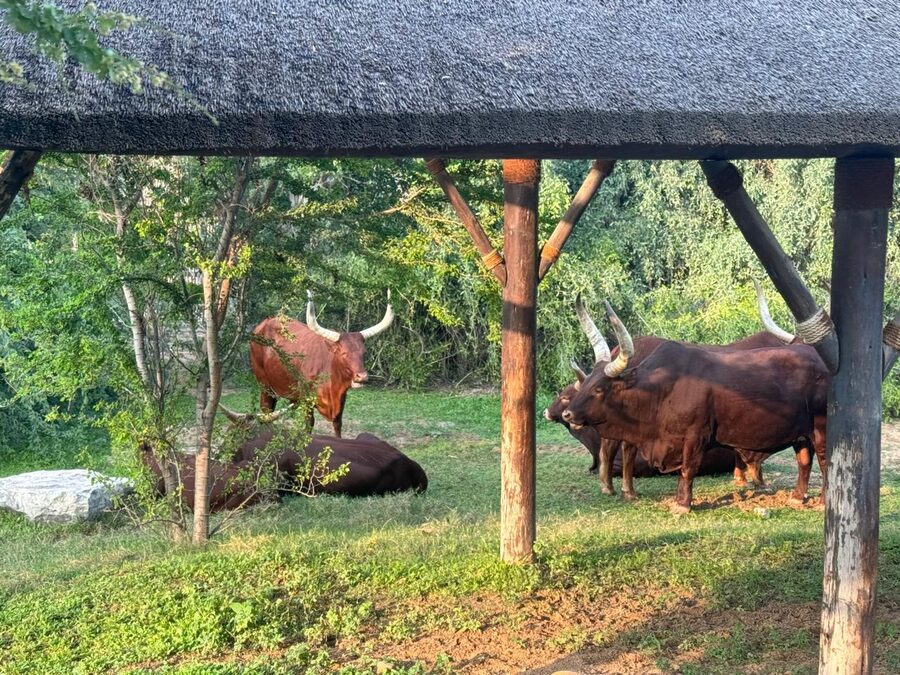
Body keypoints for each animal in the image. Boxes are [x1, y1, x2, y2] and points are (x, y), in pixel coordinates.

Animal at [250, 290, 393, 437]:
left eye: (364, 352)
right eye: (343, 353)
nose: (362, 377)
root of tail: (263, 324)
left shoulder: (341, 402)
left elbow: (337, 425)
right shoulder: (306, 400)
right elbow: (309, 424)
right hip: (264, 385)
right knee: (266, 410)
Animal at [562, 302, 828, 513]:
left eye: (599, 389)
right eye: (586, 382)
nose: (567, 413)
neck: (661, 390)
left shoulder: (695, 437)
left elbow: (688, 470)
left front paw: (682, 504)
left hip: (821, 428)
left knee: (825, 463)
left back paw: (824, 501)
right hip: (801, 434)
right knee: (804, 461)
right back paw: (797, 497)